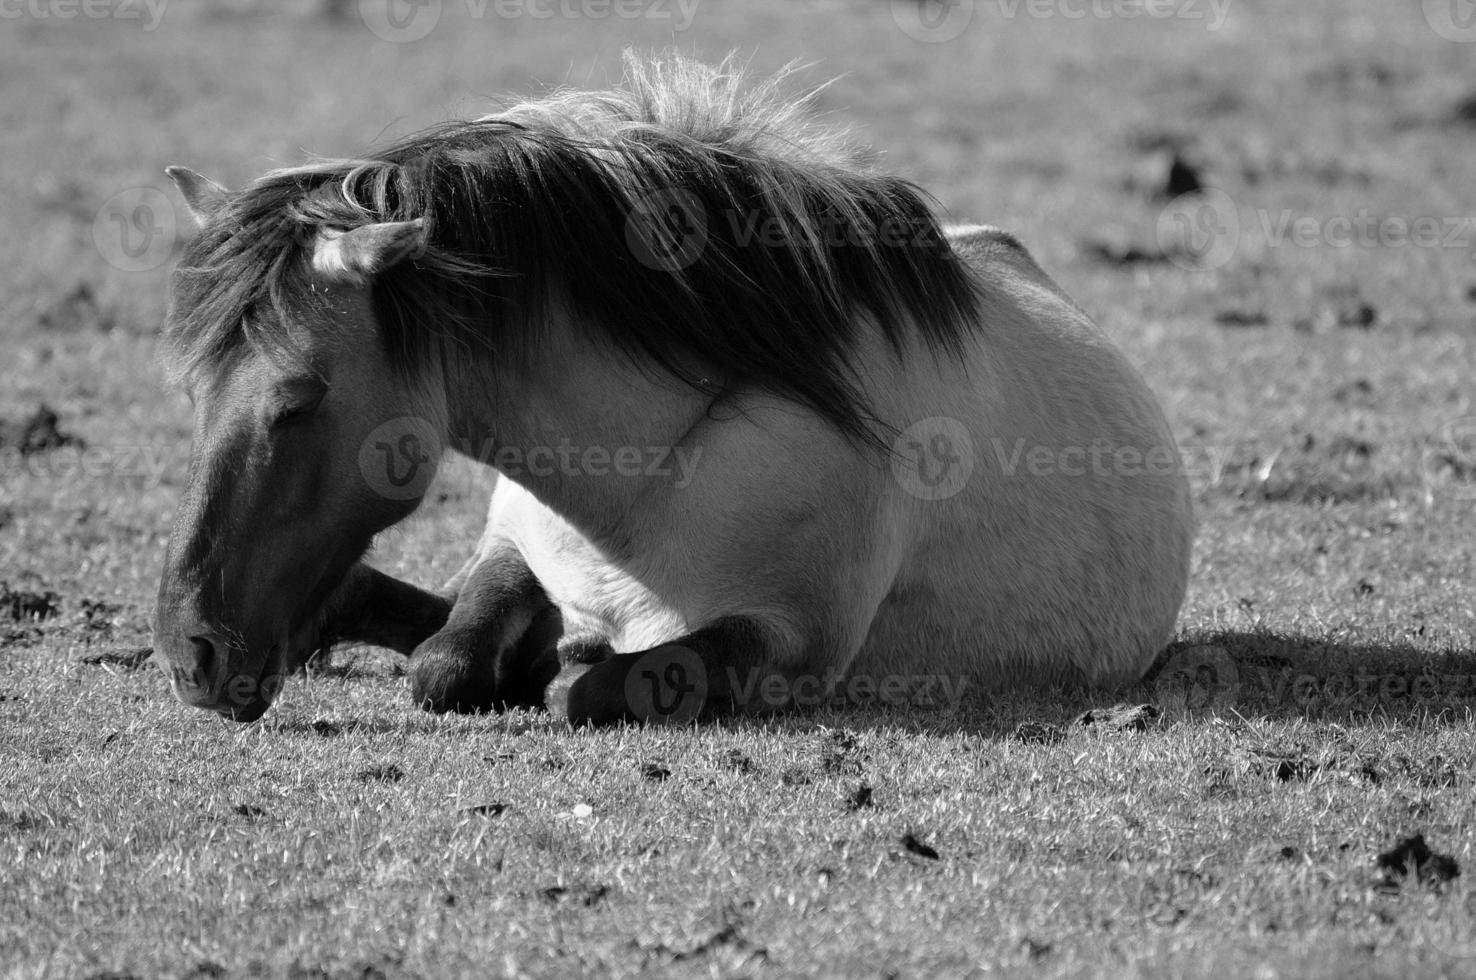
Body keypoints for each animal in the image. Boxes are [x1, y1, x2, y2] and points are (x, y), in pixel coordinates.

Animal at [149, 55, 1192, 726]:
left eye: (298, 400)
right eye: (191, 395)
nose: (190, 654)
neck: (646, 473)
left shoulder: (787, 642)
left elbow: (582, 688)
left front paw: (560, 667)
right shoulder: (508, 552)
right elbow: (447, 660)